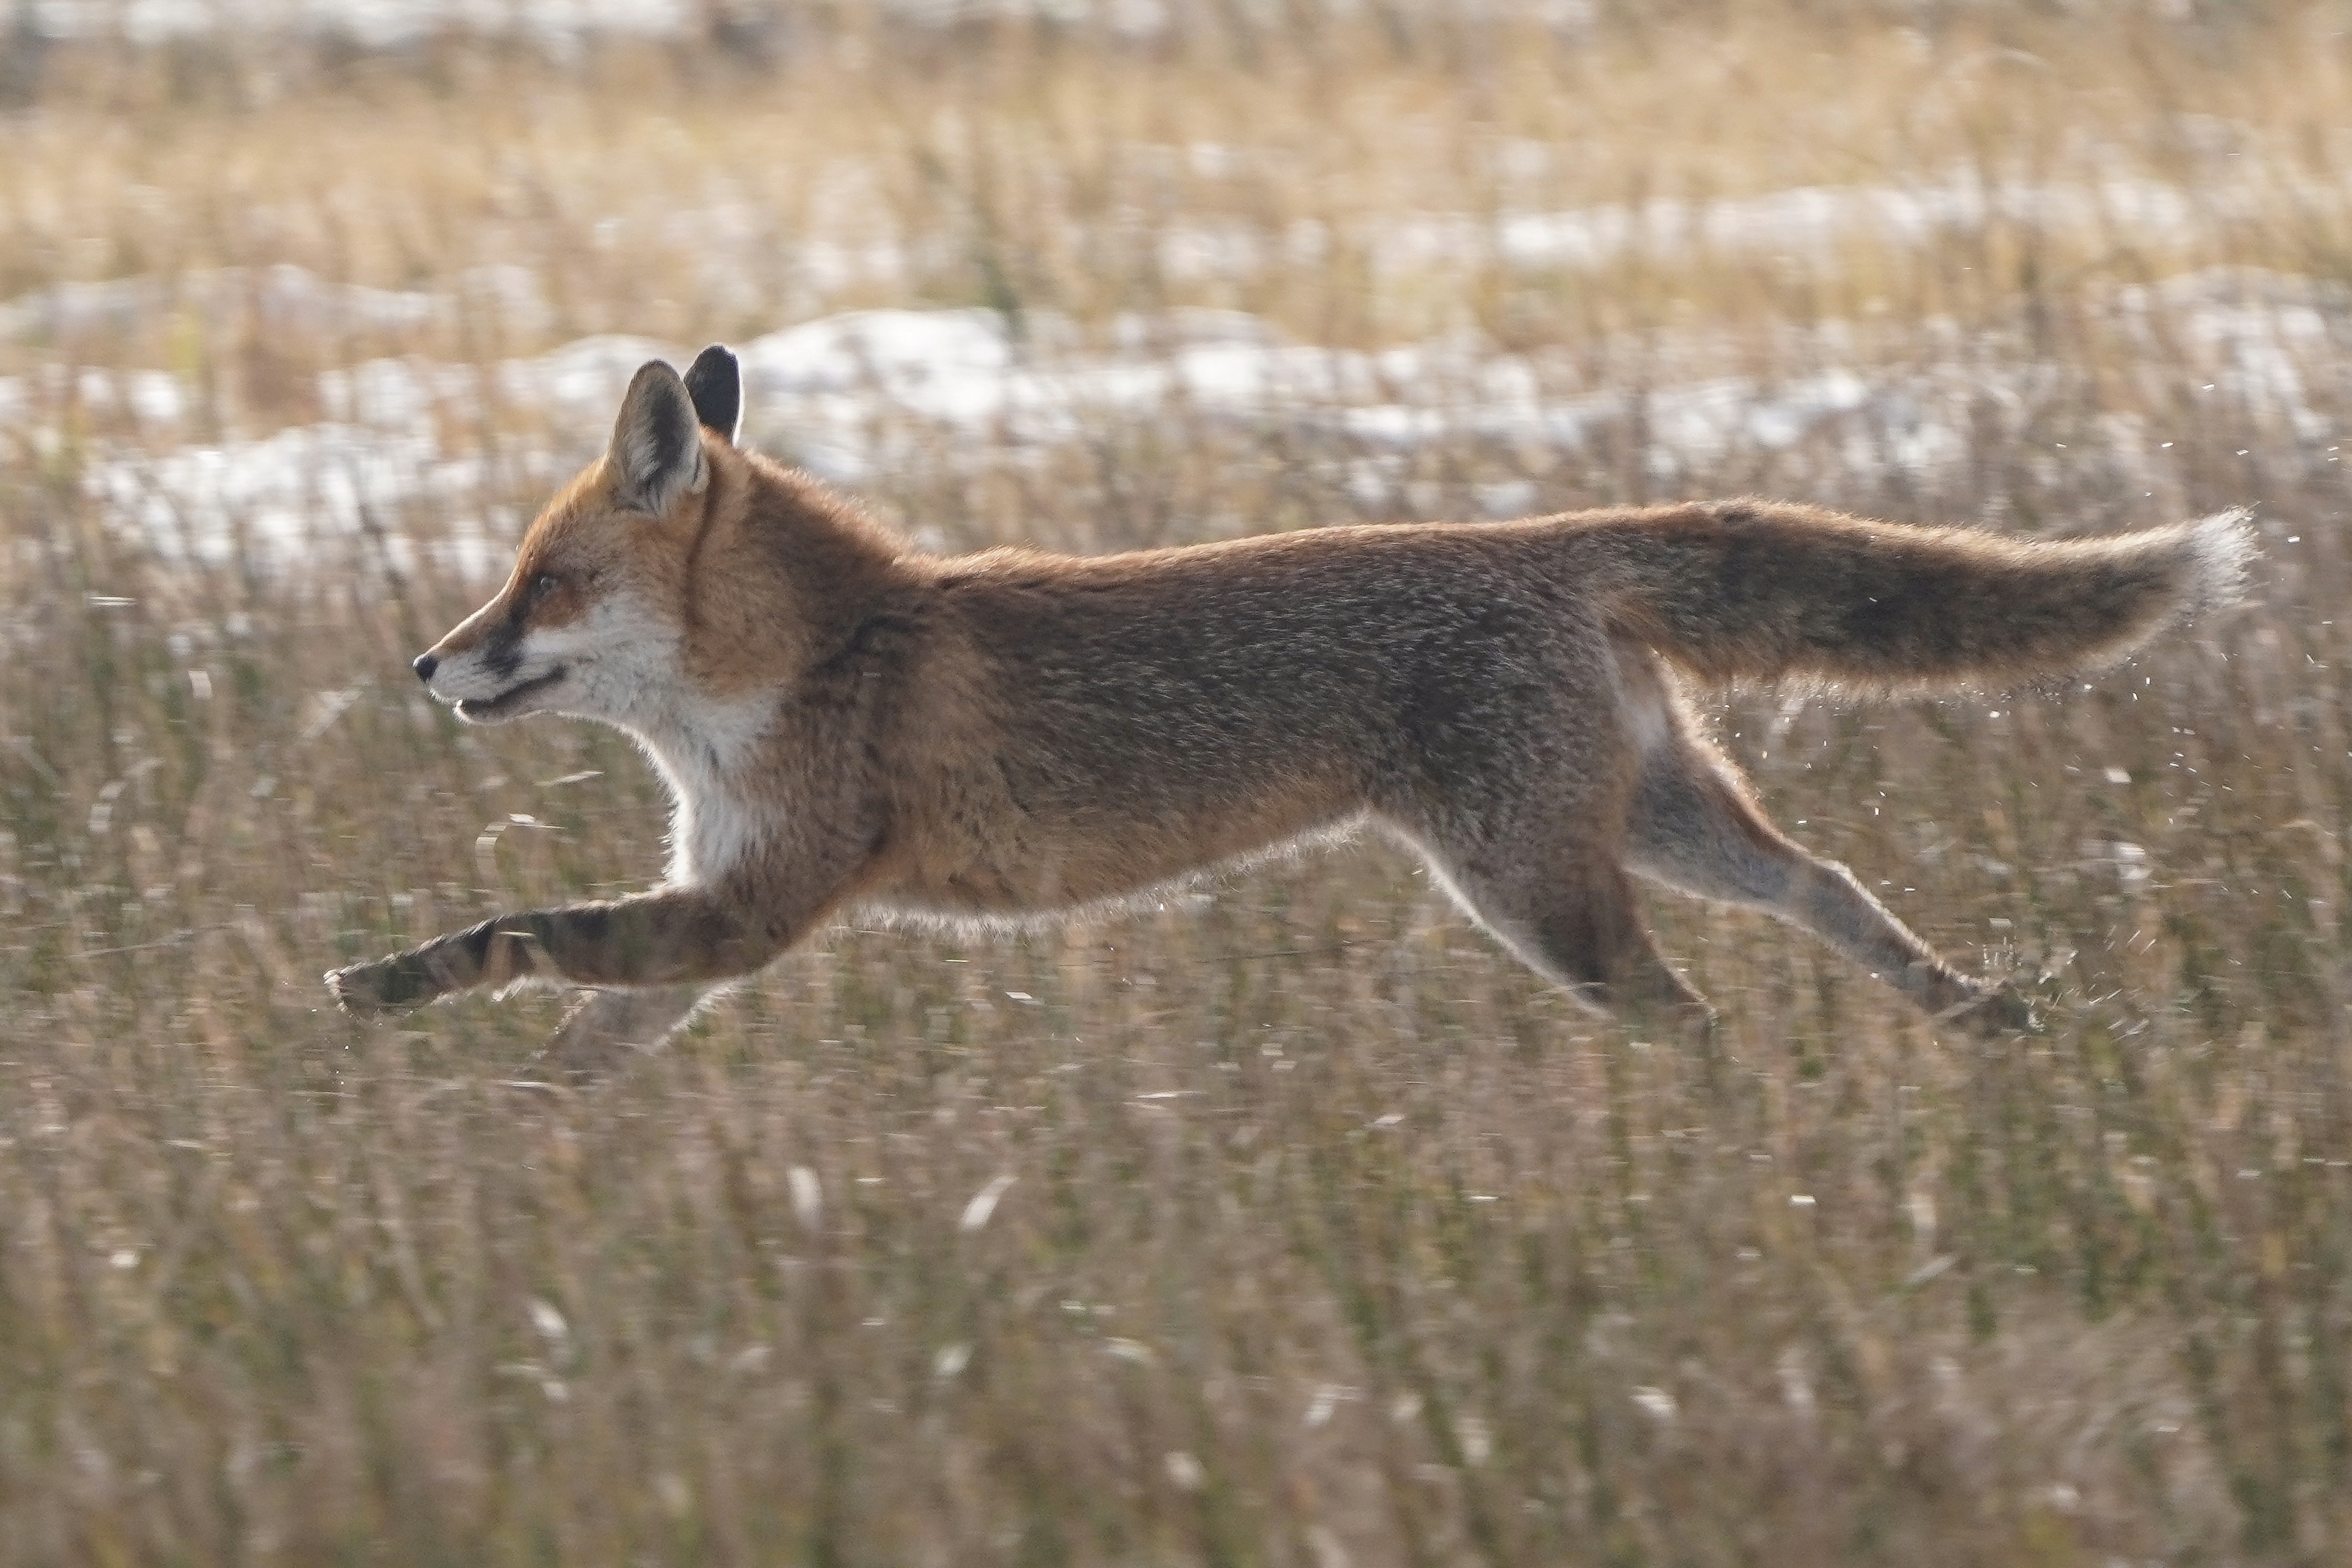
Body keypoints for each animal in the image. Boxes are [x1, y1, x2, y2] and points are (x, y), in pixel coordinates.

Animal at [325, 343, 2252, 1068]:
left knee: (1701, 1013)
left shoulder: (756, 902)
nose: (424, 664)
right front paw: (515, 1156)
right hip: (1655, 827)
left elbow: (517, 934)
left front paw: (385, 991)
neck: (812, 663)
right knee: (1832, 887)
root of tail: (1543, 541)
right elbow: (582, 1041)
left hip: (1539, 889)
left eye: (540, 586)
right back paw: (1981, 1019)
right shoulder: (719, 918)